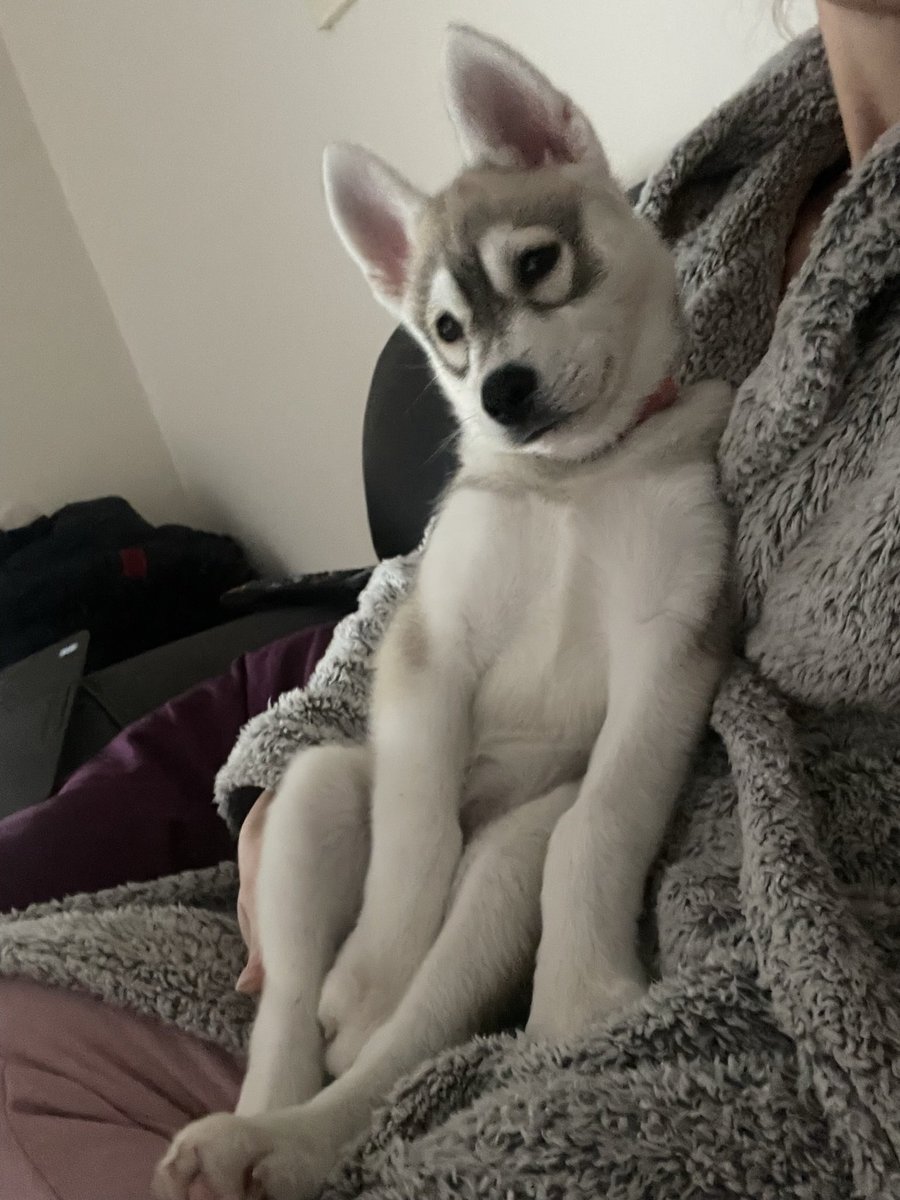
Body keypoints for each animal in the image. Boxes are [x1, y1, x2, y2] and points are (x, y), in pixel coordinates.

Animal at [154, 21, 734, 1200]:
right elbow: (415, 836)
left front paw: (585, 997)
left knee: (410, 1047)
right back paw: (258, 1116)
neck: (572, 482)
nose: (502, 393)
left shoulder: (670, 652)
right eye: (448, 329)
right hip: (322, 794)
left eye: (538, 263)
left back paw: (278, 1146)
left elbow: (601, 827)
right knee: (293, 1009)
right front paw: (371, 975)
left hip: (505, 862)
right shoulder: (429, 653)